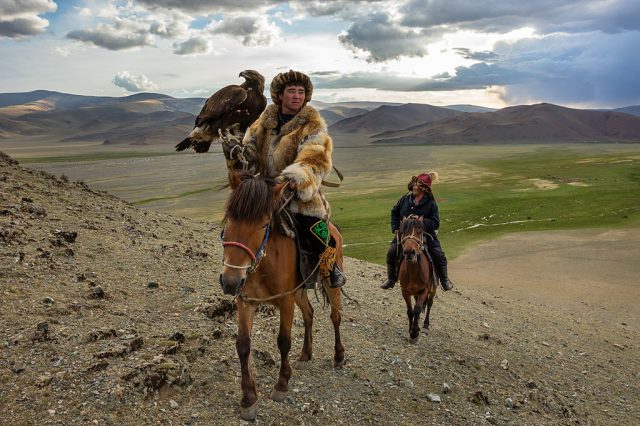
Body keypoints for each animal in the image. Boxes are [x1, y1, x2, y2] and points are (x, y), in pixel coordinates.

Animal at [219, 172, 344, 420]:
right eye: (229, 220)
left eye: (263, 224)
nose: (230, 282)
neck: (264, 262)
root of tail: (334, 229)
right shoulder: (246, 301)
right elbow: (243, 345)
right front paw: (248, 399)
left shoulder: (285, 301)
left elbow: (283, 341)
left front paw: (282, 384)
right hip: (299, 291)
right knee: (309, 314)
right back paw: (305, 355)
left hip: (330, 283)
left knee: (335, 317)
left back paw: (338, 356)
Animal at [398, 213, 438, 342]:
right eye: (403, 231)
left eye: (420, 232)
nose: (410, 252)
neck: (412, 272)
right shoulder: (405, 291)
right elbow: (410, 311)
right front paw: (411, 330)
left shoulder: (424, 290)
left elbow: (418, 309)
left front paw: (415, 333)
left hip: (433, 288)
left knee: (429, 303)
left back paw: (425, 325)